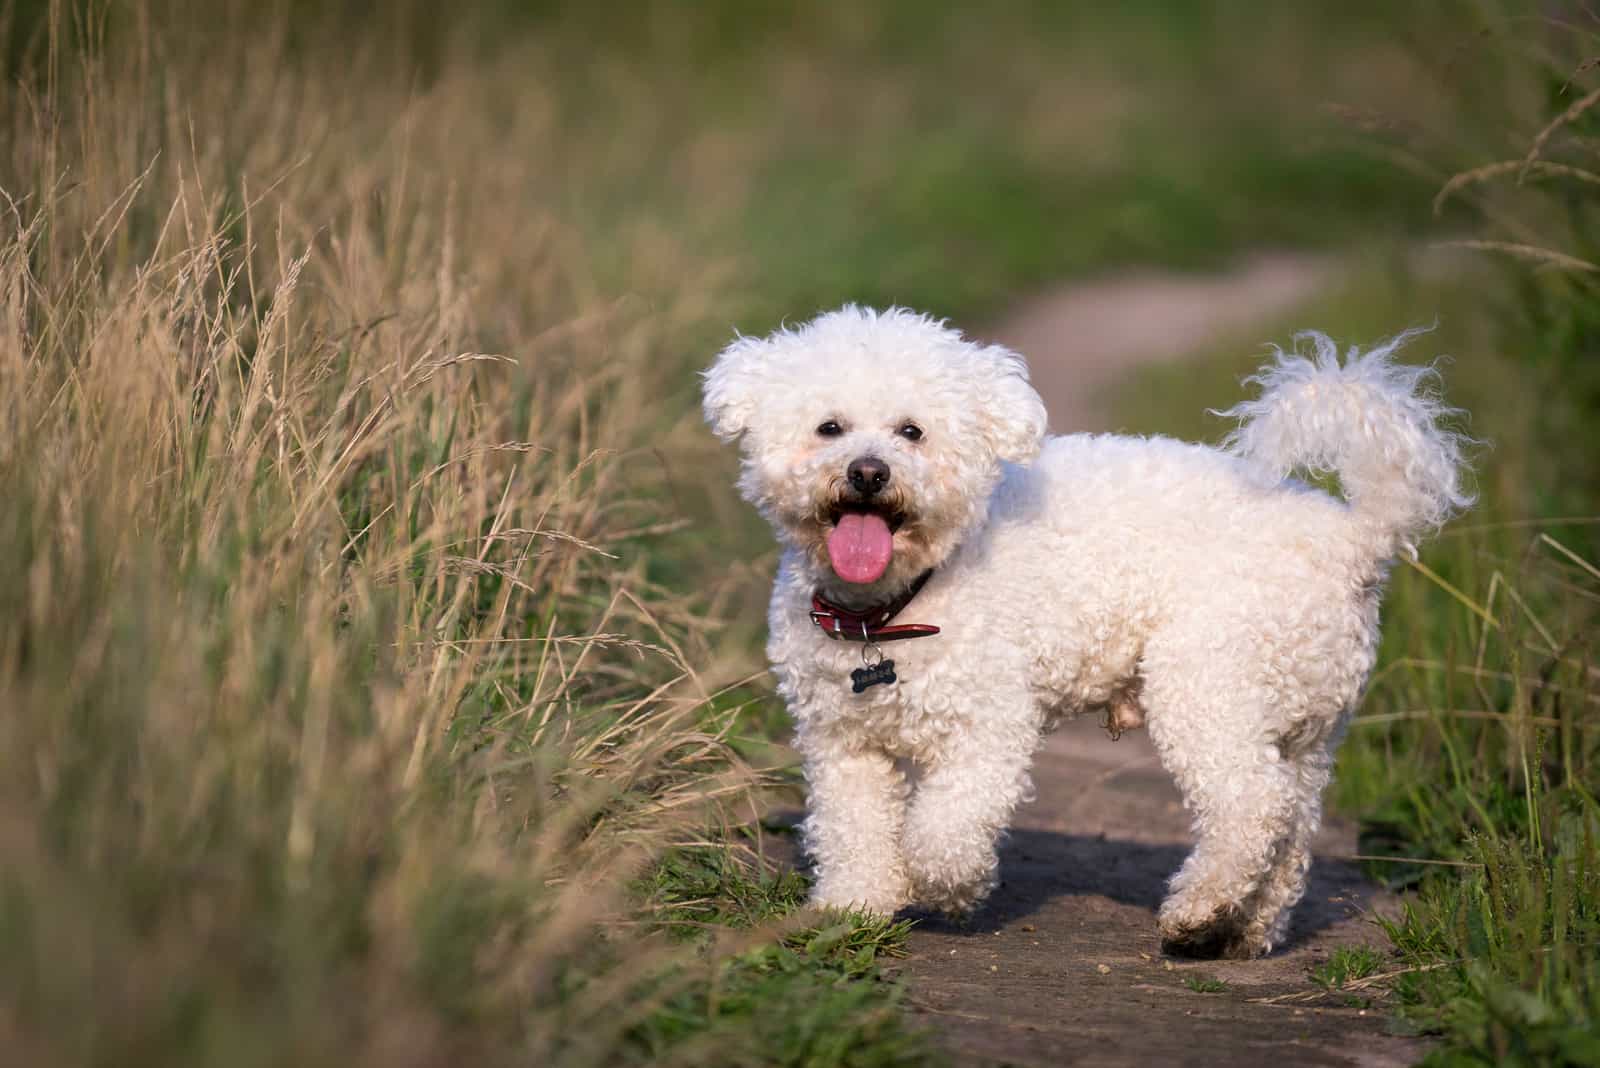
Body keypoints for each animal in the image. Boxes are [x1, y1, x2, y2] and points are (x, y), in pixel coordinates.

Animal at [704, 302, 1472, 959]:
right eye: (829, 428)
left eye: (912, 431)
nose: (868, 472)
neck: (892, 609)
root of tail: (1352, 538)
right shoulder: (841, 741)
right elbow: (852, 828)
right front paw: (854, 906)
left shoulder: (989, 727)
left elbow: (946, 827)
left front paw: (947, 888)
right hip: (1306, 726)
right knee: (1290, 826)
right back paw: (1244, 927)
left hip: (1208, 683)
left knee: (1252, 805)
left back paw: (1196, 909)